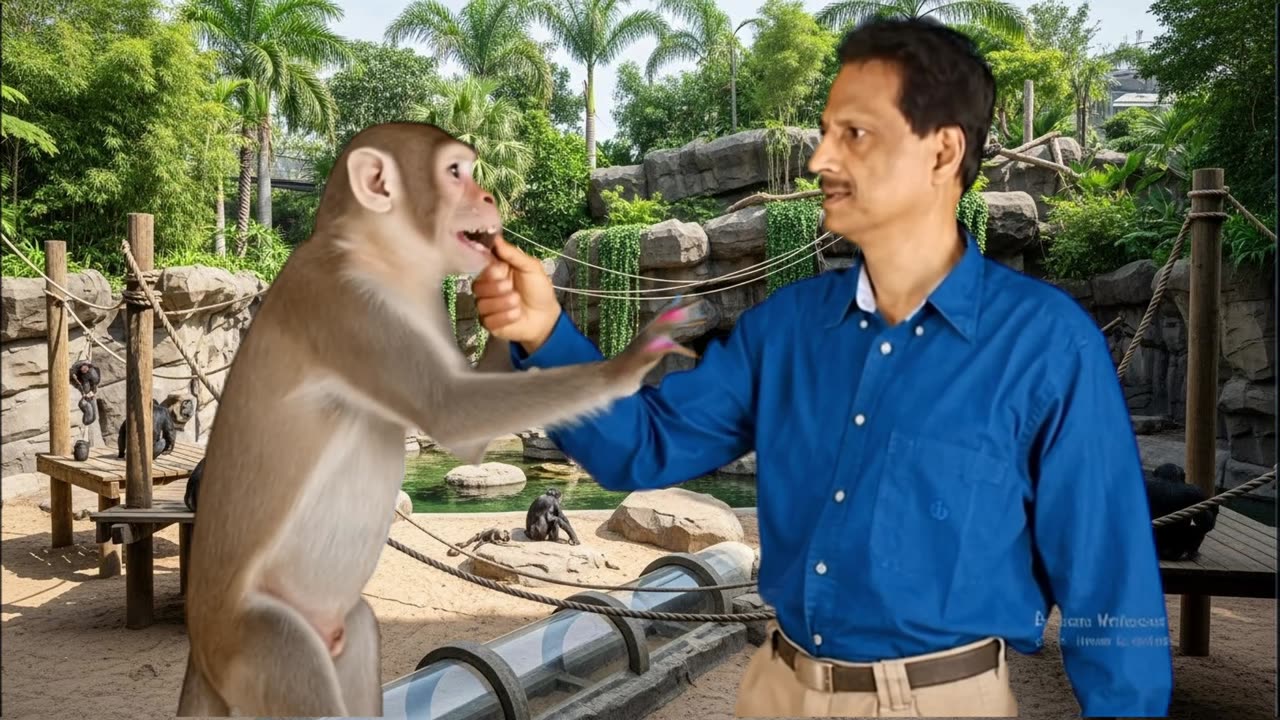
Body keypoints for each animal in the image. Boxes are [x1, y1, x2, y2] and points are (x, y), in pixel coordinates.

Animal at [175, 121, 709, 718]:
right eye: (456, 172)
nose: (489, 197)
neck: (378, 256)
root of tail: (204, 652)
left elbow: (469, 434)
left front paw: (521, 297)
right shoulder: (347, 302)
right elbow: (451, 410)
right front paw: (631, 360)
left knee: (358, 634)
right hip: (259, 642)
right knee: (290, 654)